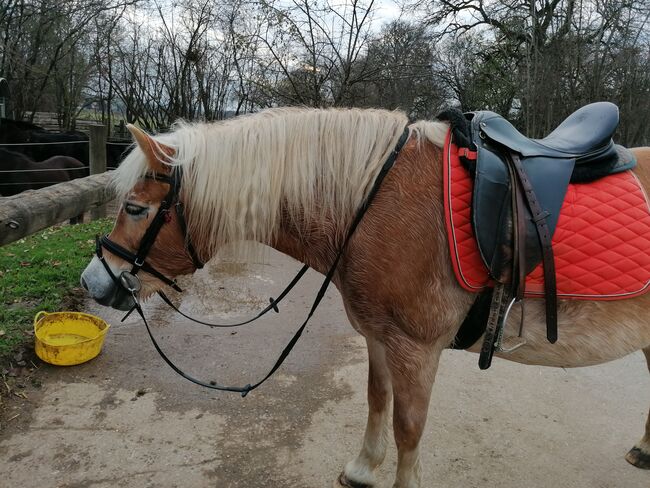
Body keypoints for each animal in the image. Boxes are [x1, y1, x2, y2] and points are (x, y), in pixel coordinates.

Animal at [79, 108, 648, 486]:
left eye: (134, 208)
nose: (94, 282)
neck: (373, 202)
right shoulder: (379, 336)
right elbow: (377, 400)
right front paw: (362, 469)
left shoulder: (416, 349)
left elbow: (409, 428)